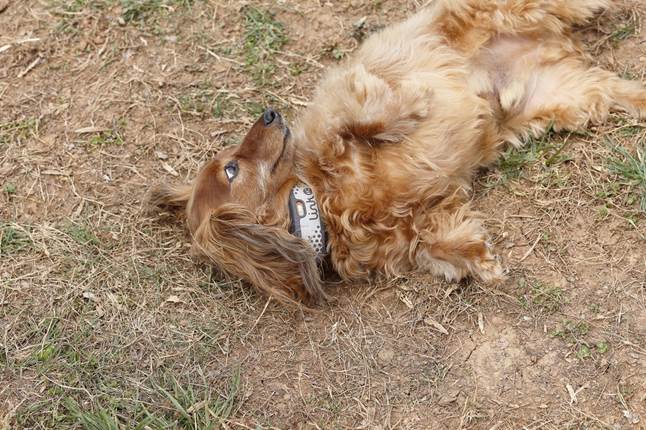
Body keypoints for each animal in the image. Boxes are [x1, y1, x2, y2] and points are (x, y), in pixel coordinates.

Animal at [151, 0, 646, 304]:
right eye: (232, 169)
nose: (270, 113)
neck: (321, 204)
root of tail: (552, 44)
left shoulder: (342, 107)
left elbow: (364, 118)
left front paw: (413, 105)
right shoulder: (418, 218)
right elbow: (435, 243)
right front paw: (476, 260)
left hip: (518, 11)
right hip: (569, 96)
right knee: (622, 92)